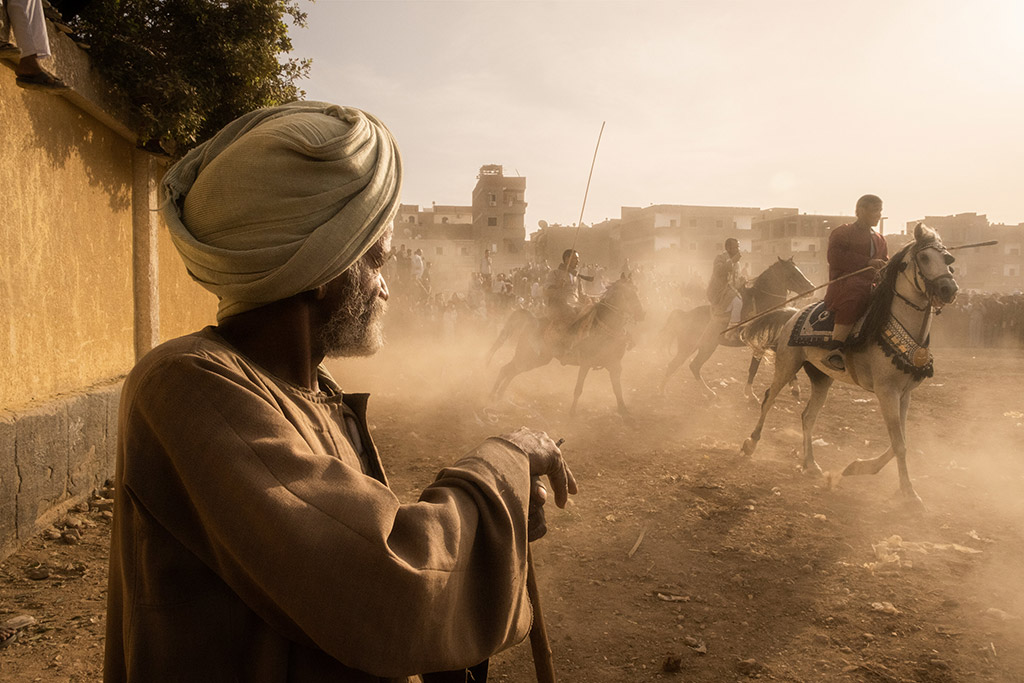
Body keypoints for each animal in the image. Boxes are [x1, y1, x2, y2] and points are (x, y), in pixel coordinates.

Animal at [489, 278, 643, 417]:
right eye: (627, 295)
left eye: (636, 291)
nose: (641, 313)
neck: (605, 328)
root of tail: (533, 320)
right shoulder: (586, 363)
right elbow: (578, 388)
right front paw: (572, 413)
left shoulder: (615, 366)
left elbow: (617, 389)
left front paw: (623, 410)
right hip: (527, 356)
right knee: (506, 370)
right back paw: (492, 395)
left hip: (535, 360)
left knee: (511, 371)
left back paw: (499, 395)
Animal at [741, 224, 954, 507]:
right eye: (925, 257)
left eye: (947, 258)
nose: (949, 289)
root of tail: (793, 315)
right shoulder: (886, 392)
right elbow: (899, 444)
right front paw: (909, 493)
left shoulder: (904, 393)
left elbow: (899, 441)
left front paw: (858, 467)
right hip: (787, 365)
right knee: (768, 399)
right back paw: (751, 443)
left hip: (821, 378)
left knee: (808, 416)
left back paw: (810, 464)